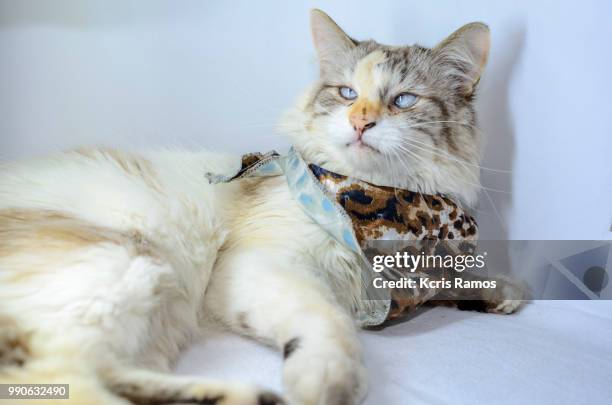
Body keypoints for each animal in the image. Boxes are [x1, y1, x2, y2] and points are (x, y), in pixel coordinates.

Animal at [0, 8, 520, 404]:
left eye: (404, 100)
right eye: (347, 94)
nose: (360, 122)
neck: (381, 205)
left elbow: (464, 277)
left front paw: (504, 291)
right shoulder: (266, 264)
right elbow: (329, 321)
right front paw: (328, 382)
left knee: (97, 375)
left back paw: (237, 396)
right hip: (126, 265)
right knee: (61, 379)